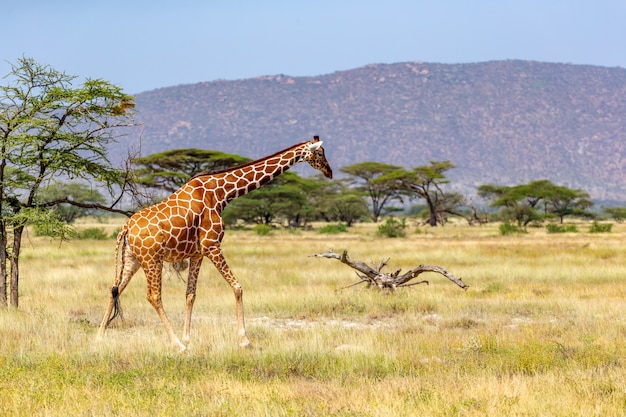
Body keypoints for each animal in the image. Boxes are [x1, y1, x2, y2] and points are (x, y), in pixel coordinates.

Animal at [95, 136, 332, 348]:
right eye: (320, 153)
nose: (329, 172)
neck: (221, 193)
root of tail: (126, 228)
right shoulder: (212, 245)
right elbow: (237, 287)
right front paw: (244, 340)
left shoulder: (197, 253)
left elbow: (190, 295)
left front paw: (189, 339)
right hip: (152, 259)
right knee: (153, 296)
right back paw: (175, 344)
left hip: (132, 259)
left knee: (115, 289)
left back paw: (100, 337)